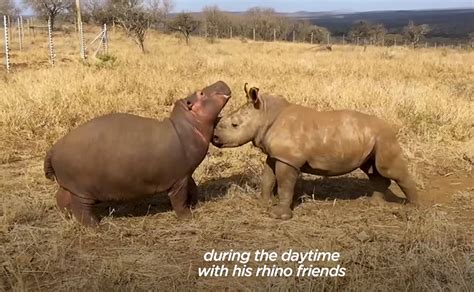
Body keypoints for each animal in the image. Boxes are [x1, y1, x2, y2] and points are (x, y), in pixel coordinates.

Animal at [213, 83, 420, 220]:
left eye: (234, 125)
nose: (214, 138)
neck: (265, 113)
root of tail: (390, 126)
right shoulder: (276, 155)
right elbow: (268, 178)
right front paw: (263, 203)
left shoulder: (288, 158)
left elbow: (284, 184)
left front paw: (279, 215)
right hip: (372, 138)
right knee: (372, 170)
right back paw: (373, 204)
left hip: (384, 137)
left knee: (388, 169)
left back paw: (414, 208)